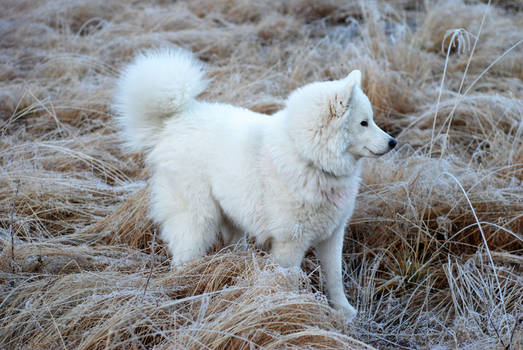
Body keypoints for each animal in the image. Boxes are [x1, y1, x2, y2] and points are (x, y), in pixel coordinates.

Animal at [114, 49, 398, 320]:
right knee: (184, 255)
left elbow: (335, 279)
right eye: (364, 123)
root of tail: (174, 120)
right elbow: (290, 281)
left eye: (372, 120)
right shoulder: (289, 244)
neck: (308, 157)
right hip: (198, 220)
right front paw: (294, 310)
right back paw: (183, 286)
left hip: (232, 214)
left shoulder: (332, 234)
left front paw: (345, 313)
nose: (393, 142)